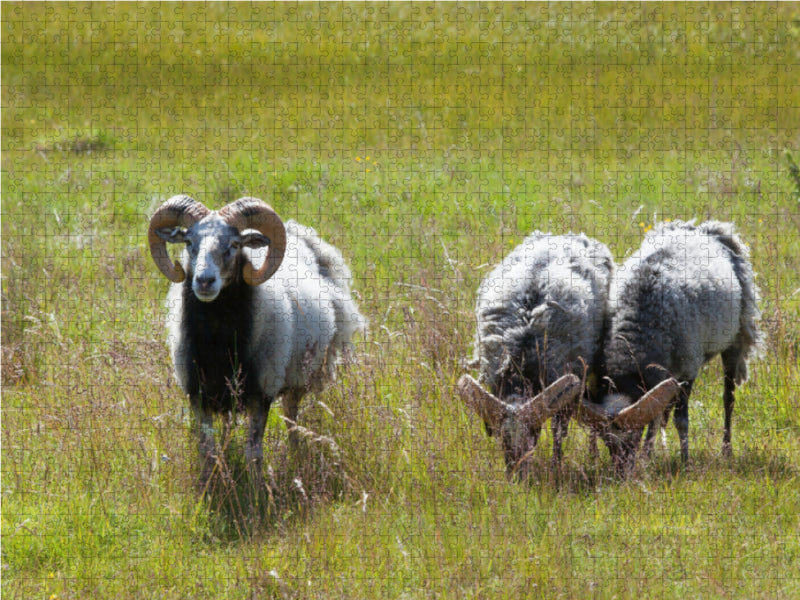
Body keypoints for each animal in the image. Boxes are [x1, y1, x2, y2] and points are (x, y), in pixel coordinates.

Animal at [148, 197, 364, 482]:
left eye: (235, 245)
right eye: (189, 242)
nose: (205, 281)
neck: (218, 340)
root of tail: (300, 233)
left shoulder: (261, 393)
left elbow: (254, 452)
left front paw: (256, 489)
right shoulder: (197, 393)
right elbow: (208, 449)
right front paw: (209, 483)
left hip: (299, 377)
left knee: (291, 419)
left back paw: (295, 457)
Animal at [580, 218, 760, 466]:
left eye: (633, 435)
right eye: (606, 440)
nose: (621, 471)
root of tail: (705, 230)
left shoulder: (688, 369)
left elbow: (681, 419)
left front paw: (684, 462)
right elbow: (656, 414)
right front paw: (647, 456)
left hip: (735, 338)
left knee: (728, 398)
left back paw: (726, 449)